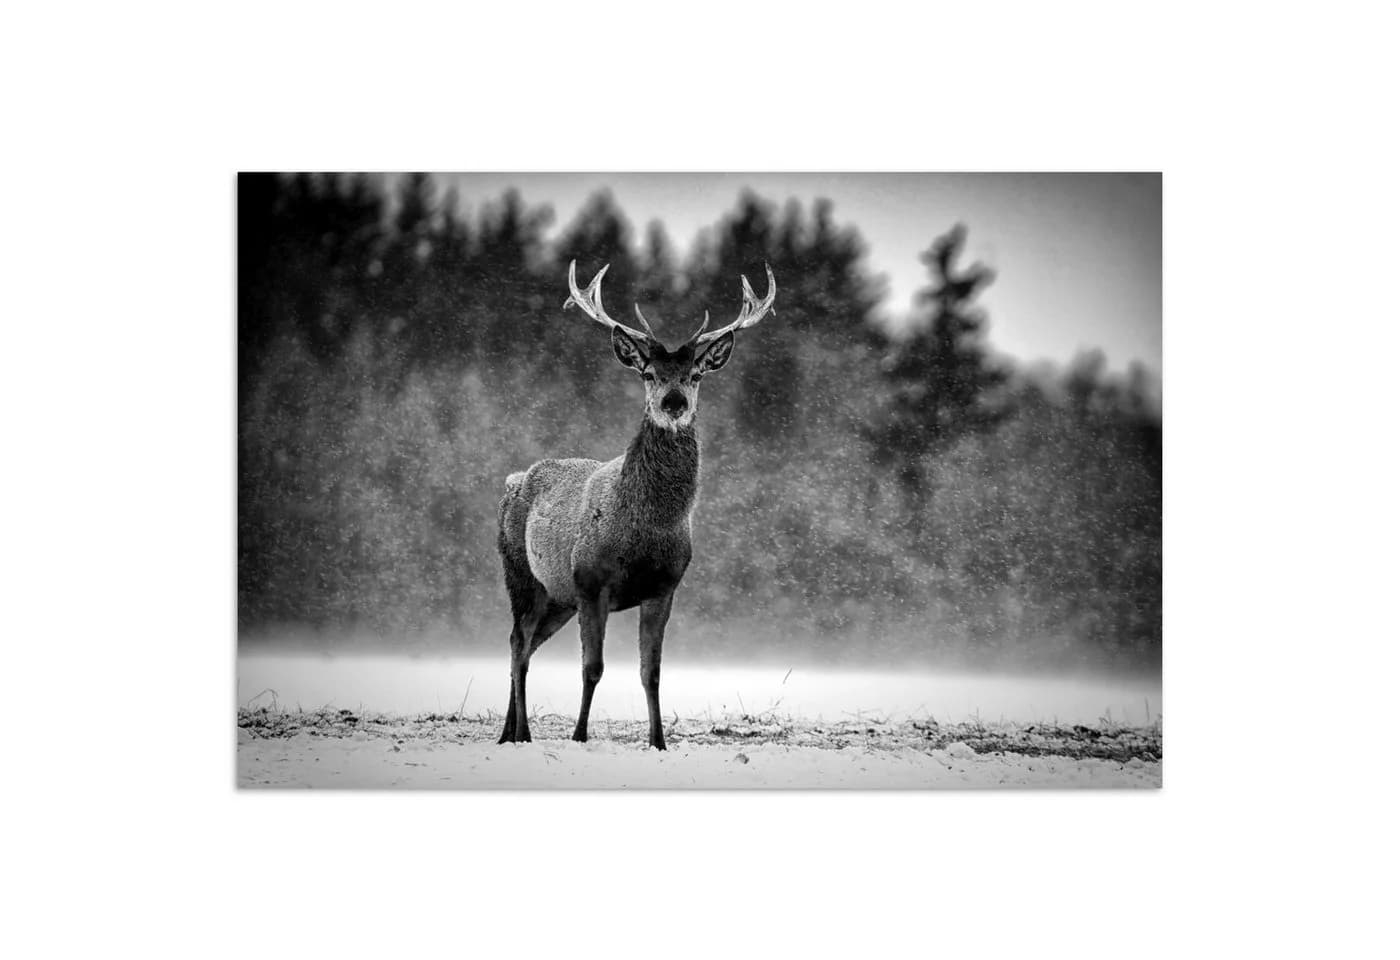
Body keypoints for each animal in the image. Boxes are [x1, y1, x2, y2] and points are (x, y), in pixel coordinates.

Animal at [494, 260, 777, 750]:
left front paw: (659, 742)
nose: (674, 403)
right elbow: (592, 668)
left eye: (695, 375)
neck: (646, 527)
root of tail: (512, 481)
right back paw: (521, 734)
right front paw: (579, 736)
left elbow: (652, 672)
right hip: (522, 574)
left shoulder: (664, 587)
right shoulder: (591, 579)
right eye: (648, 374)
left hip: (557, 596)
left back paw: (509, 733)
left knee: (526, 644)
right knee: (516, 643)